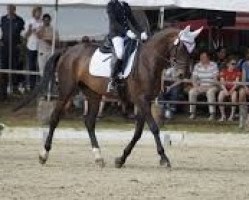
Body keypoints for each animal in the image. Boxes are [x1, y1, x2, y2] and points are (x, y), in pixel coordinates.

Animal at [15, 25, 202, 168]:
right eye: (181, 48)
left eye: (192, 50)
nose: (182, 75)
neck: (149, 61)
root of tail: (68, 50)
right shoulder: (141, 100)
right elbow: (154, 128)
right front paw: (164, 158)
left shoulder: (145, 102)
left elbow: (138, 133)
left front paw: (121, 159)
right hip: (66, 91)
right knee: (54, 118)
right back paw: (44, 155)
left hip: (93, 94)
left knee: (89, 122)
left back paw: (98, 157)